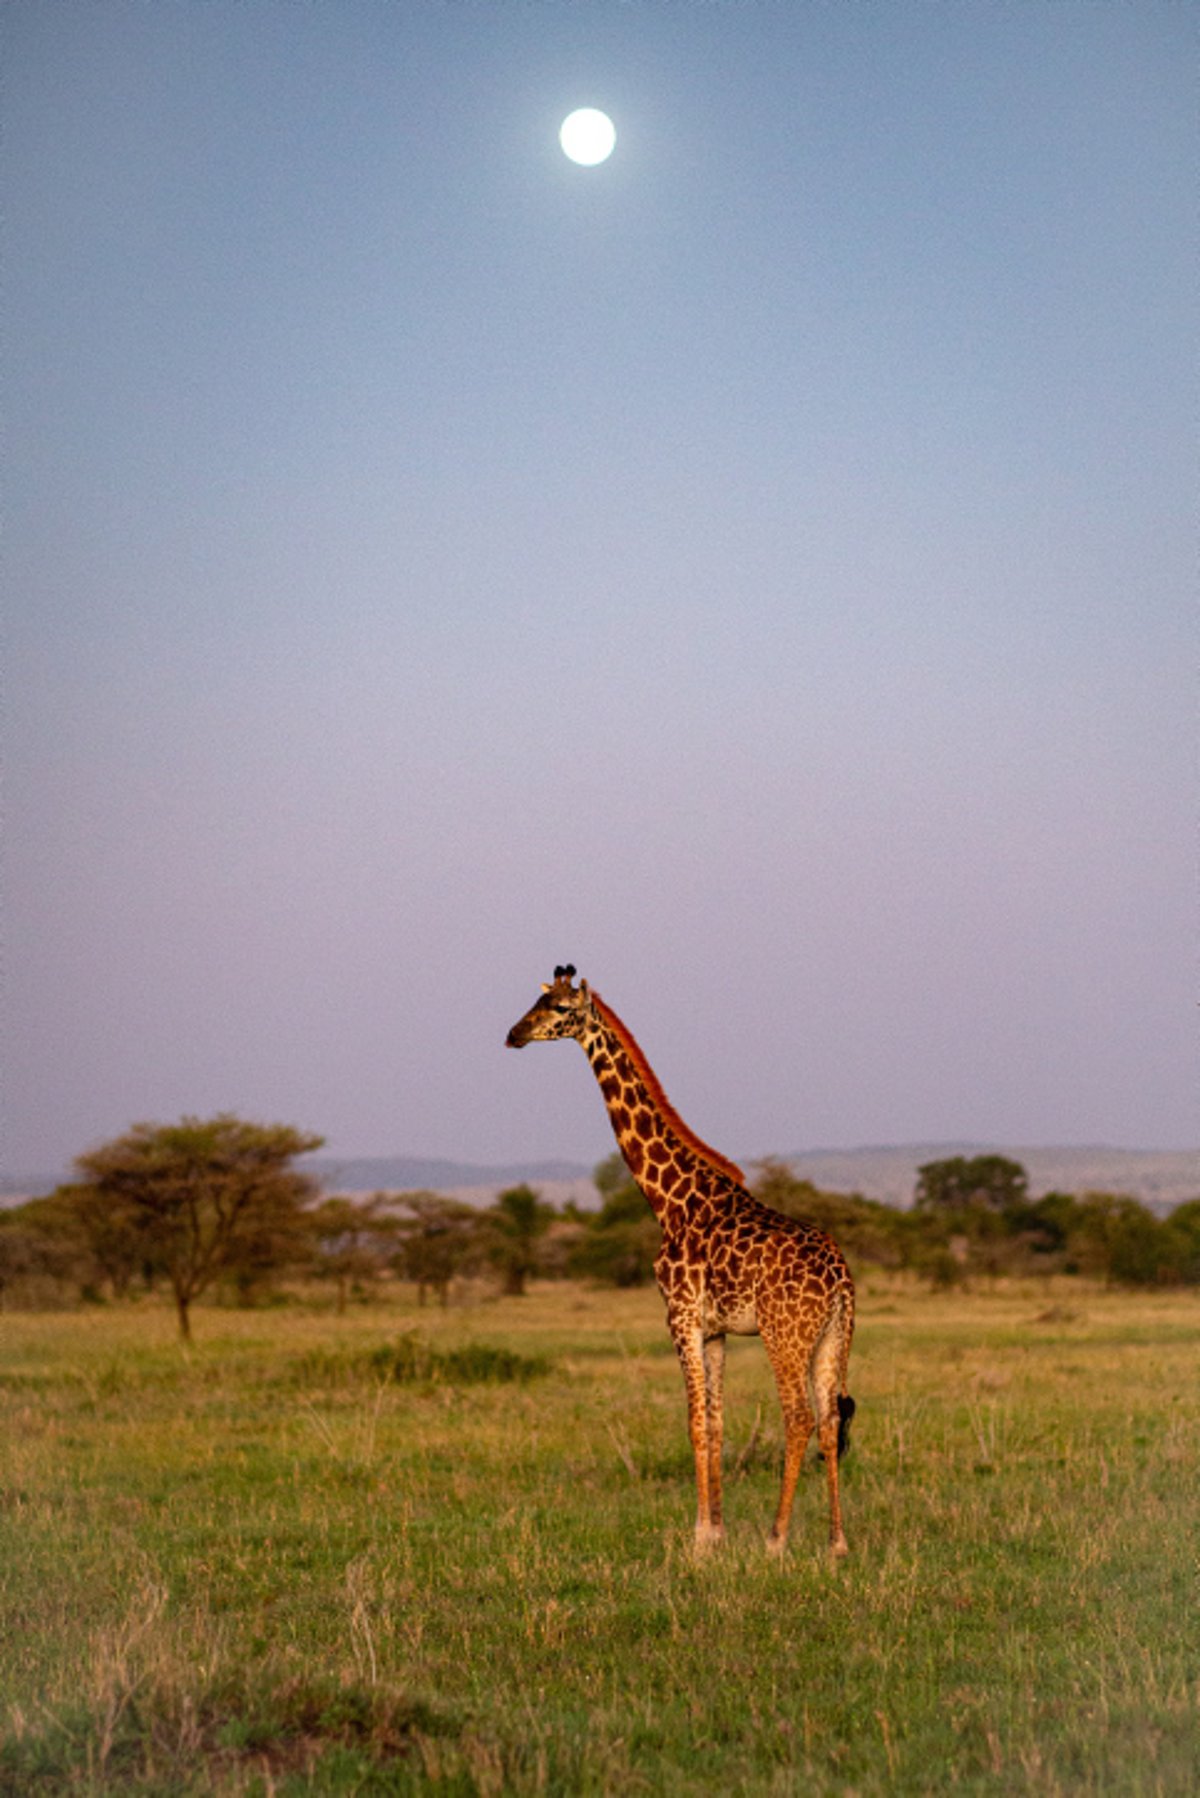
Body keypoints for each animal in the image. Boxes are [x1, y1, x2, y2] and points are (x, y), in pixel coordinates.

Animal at [507, 963, 852, 1553]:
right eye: (536, 1001)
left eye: (560, 1009)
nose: (514, 1034)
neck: (669, 1199)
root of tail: (841, 1281)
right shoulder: (714, 1329)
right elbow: (715, 1422)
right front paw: (717, 1530)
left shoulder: (680, 1316)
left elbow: (693, 1421)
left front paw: (699, 1537)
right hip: (834, 1336)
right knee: (830, 1420)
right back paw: (836, 1543)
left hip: (785, 1334)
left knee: (799, 1417)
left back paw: (777, 1538)